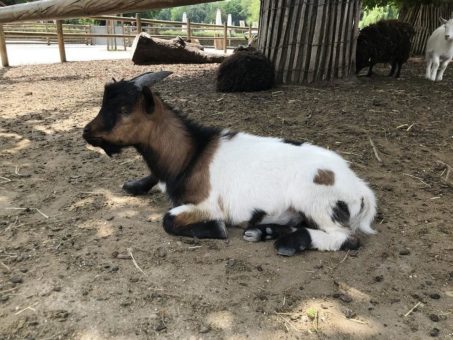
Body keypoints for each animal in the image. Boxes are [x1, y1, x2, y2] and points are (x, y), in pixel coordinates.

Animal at [83, 72, 376, 258]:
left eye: (123, 109)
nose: (87, 132)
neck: (192, 153)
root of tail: (361, 188)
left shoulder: (205, 204)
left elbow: (168, 220)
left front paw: (216, 229)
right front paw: (133, 185)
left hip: (316, 202)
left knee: (346, 238)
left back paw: (289, 242)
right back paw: (263, 231)